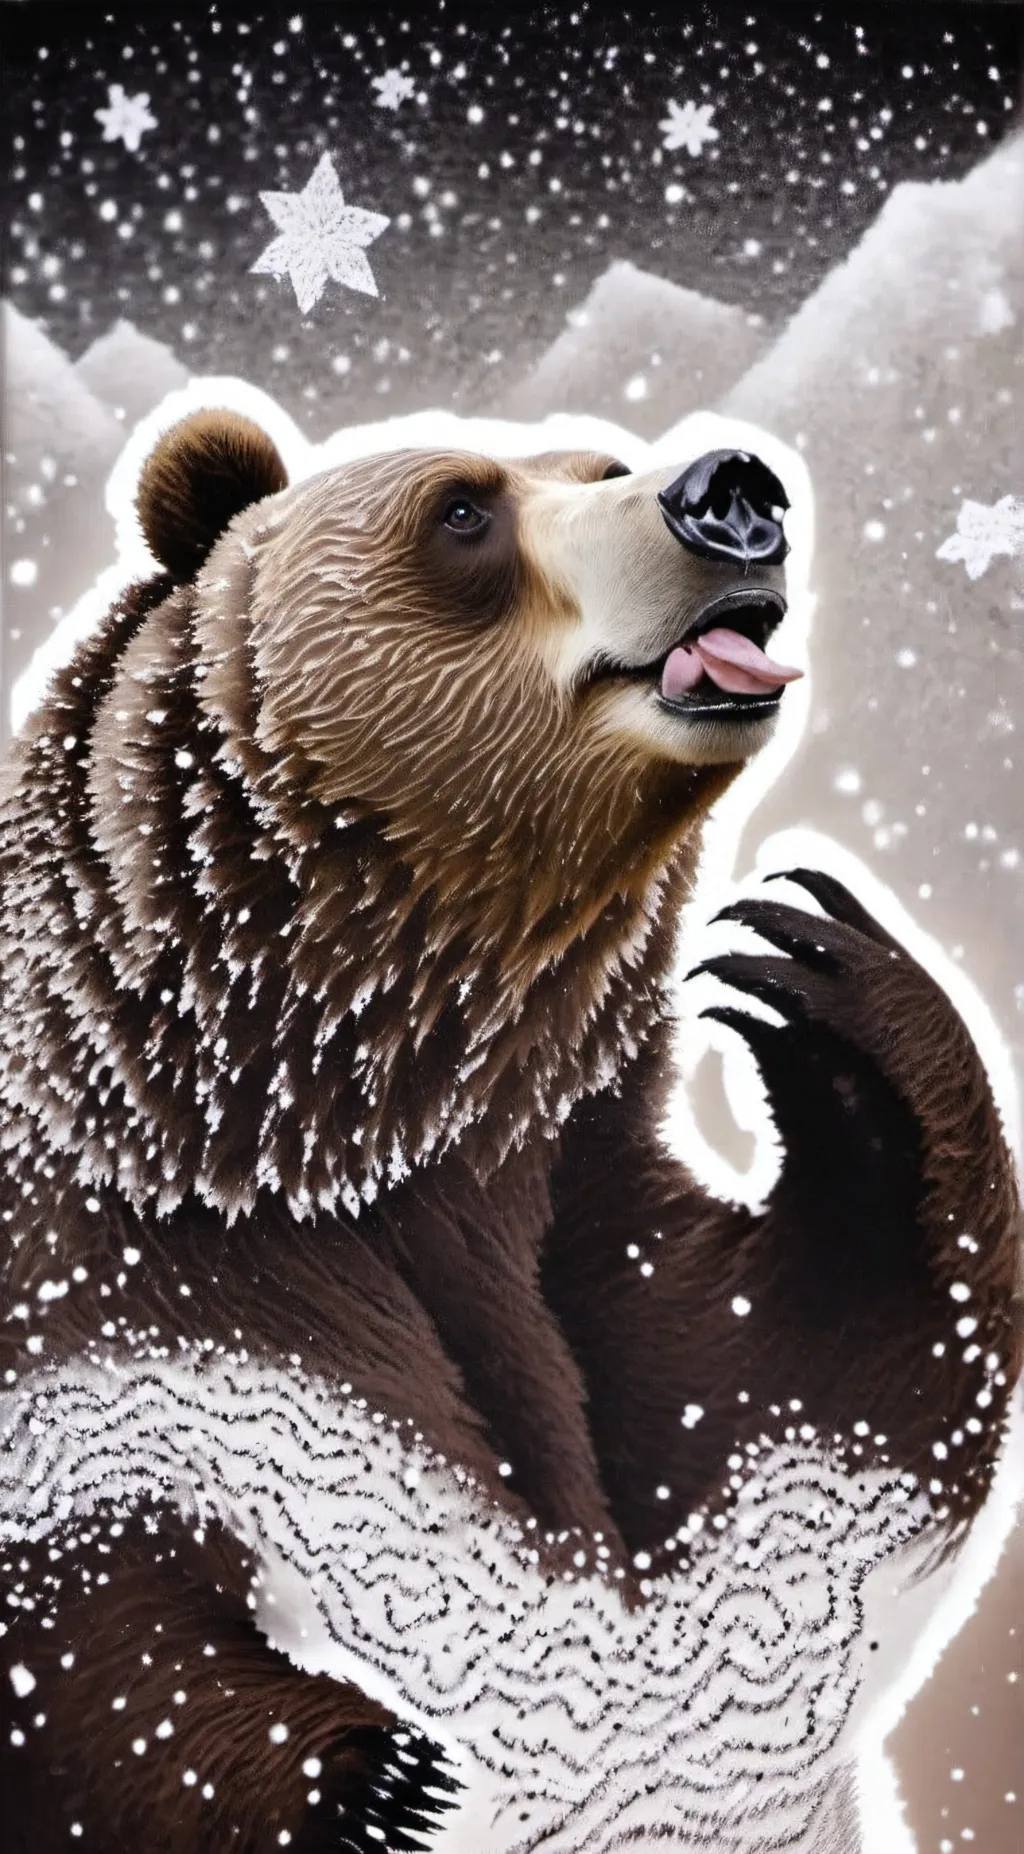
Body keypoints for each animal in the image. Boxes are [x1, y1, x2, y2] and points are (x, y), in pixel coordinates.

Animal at [0, 408, 1020, 1854]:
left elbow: (824, 1396)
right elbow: (84, 1639)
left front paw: (805, 954)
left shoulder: (580, 1233)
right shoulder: (117, 1303)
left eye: (606, 465)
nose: (733, 491)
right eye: (463, 511)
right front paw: (383, 1776)